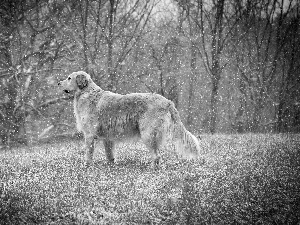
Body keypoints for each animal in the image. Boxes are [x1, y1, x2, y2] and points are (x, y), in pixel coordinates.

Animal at [58, 71, 202, 168]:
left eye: (69, 78)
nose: (58, 83)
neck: (86, 93)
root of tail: (167, 101)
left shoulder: (89, 135)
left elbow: (88, 154)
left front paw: (86, 166)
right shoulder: (107, 138)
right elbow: (110, 155)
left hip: (147, 134)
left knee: (156, 156)